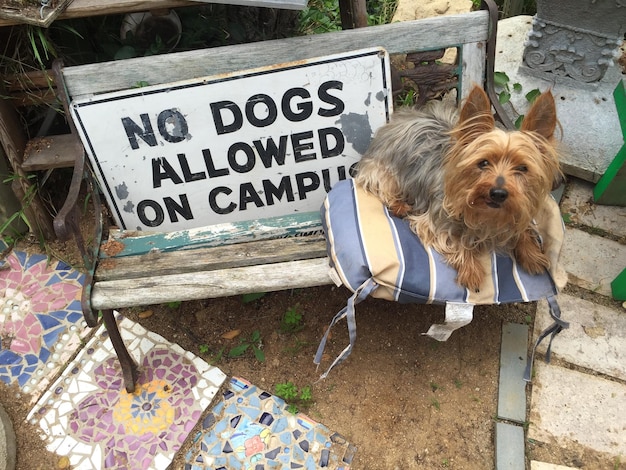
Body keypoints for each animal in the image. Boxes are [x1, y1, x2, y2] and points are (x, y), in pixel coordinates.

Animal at [354, 84, 564, 290]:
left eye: (522, 168)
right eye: (483, 163)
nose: (498, 193)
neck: (489, 214)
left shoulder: (518, 209)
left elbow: (522, 228)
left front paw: (531, 254)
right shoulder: (435, 221)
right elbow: (454, 239)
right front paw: (471, 269)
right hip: (382, 172)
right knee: (383, 187)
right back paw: (399, 206)